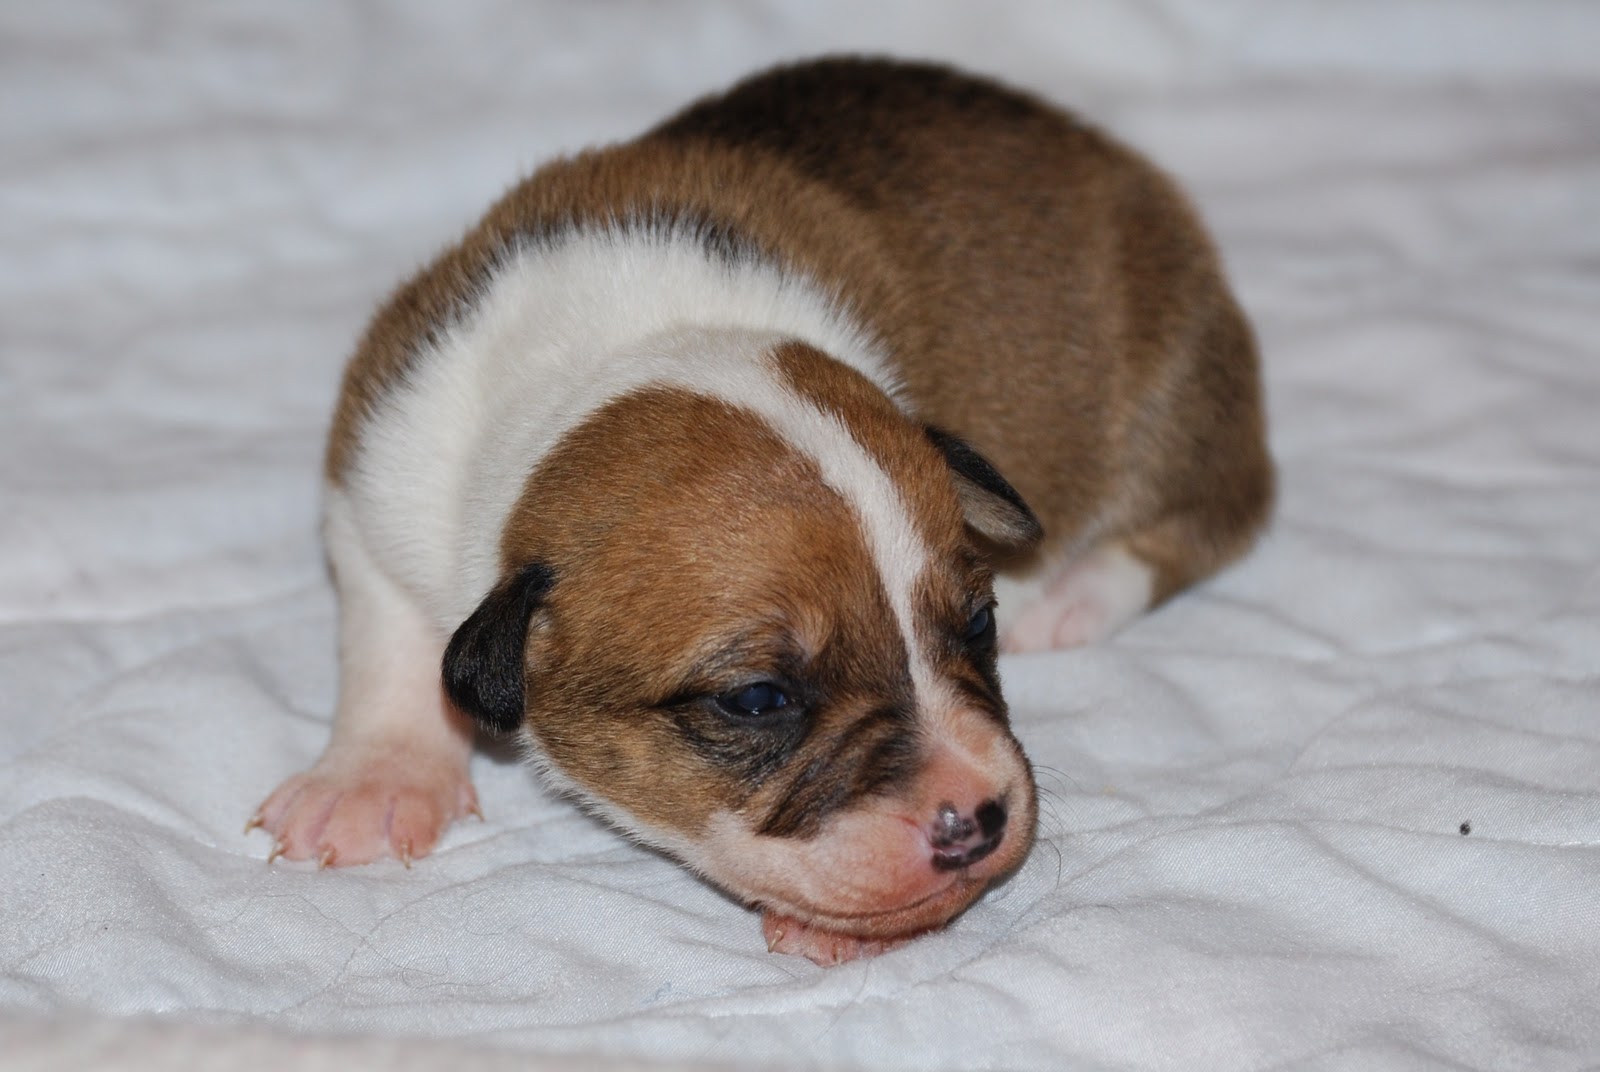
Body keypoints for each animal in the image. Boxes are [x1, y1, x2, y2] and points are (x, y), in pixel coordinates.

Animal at [249, 56, 1273, 966]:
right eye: (756, 700)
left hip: (1177, 390)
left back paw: (1077, 595)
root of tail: (1116, 160)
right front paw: (374, 777)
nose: (978, 821)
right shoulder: (375, 471)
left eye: (976, 621)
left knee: (1215, 513)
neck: (635, 344)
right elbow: (387, 642)